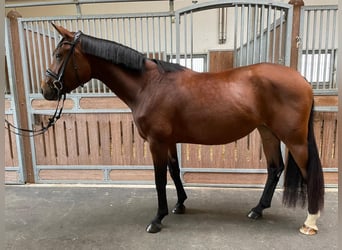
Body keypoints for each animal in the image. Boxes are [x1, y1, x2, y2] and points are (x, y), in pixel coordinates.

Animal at [41, 23, 324, 234]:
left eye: (58, 55)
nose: (47, 90)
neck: (149, 85)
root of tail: (302, 80)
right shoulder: (169, 141)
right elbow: (175, 171)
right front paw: (180, 205)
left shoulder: (156, 142)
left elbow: (159, 179)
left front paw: (157, 219)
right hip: (267, 132)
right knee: (275, 168)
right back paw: (258, 209)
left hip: (294, 139)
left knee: (307, 170)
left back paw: (310, 222)